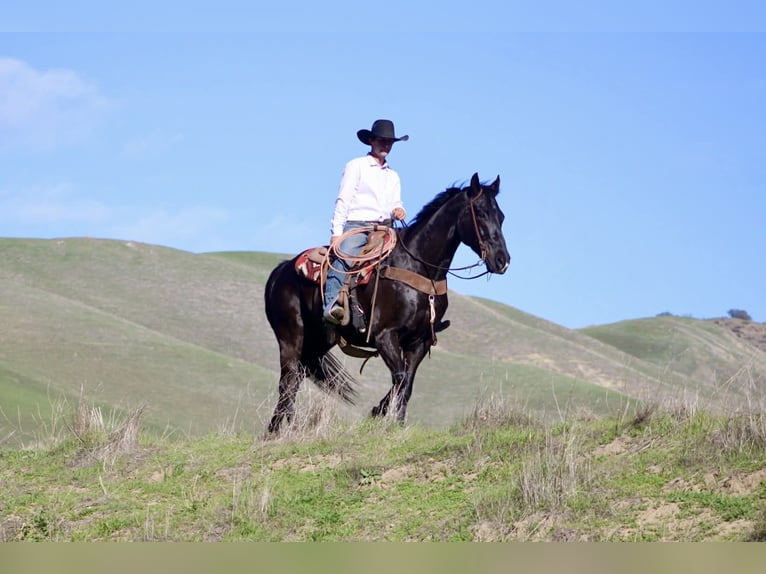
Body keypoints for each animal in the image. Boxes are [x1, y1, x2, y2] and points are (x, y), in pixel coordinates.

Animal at [264, 173, 510, 434]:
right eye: (481, 213)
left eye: (501, 216)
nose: (502, 260)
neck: (419, 267)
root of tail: (281, 271)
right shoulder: (385, 336)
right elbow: (400, 378)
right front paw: (382, 415)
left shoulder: (419, 341)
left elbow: (407, 384)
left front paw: (395, 423)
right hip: (291, 337)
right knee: (288, 380)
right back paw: (276, 430)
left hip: (319, 341)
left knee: (298, 376)